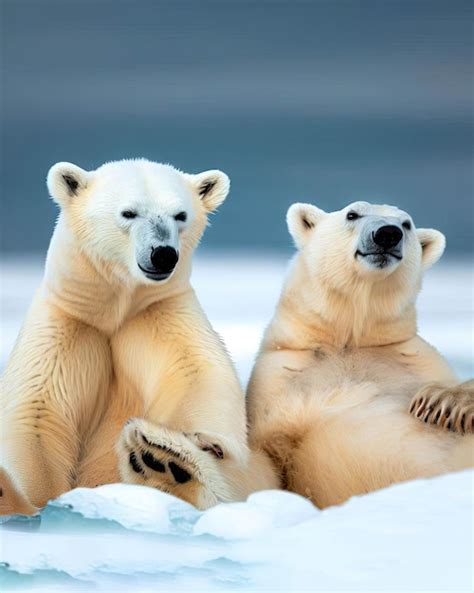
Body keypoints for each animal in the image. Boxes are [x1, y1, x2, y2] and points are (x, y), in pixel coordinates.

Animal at [1, 157, 278, 512]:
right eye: (129, 212)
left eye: (180, 215)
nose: (163, 254)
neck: (115, 309)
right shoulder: (67, 328)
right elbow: (35, 417)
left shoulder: (156, 316)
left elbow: (197, 378)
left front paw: (190, 448)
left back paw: (164, 463)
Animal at [248, 201, 474, 506]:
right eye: (352, 214)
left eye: (406, 224)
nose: (388, 233)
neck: (350, 340)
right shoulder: (277, 382)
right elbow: (265, 464)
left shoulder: (422, 362)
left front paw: (443, 402)